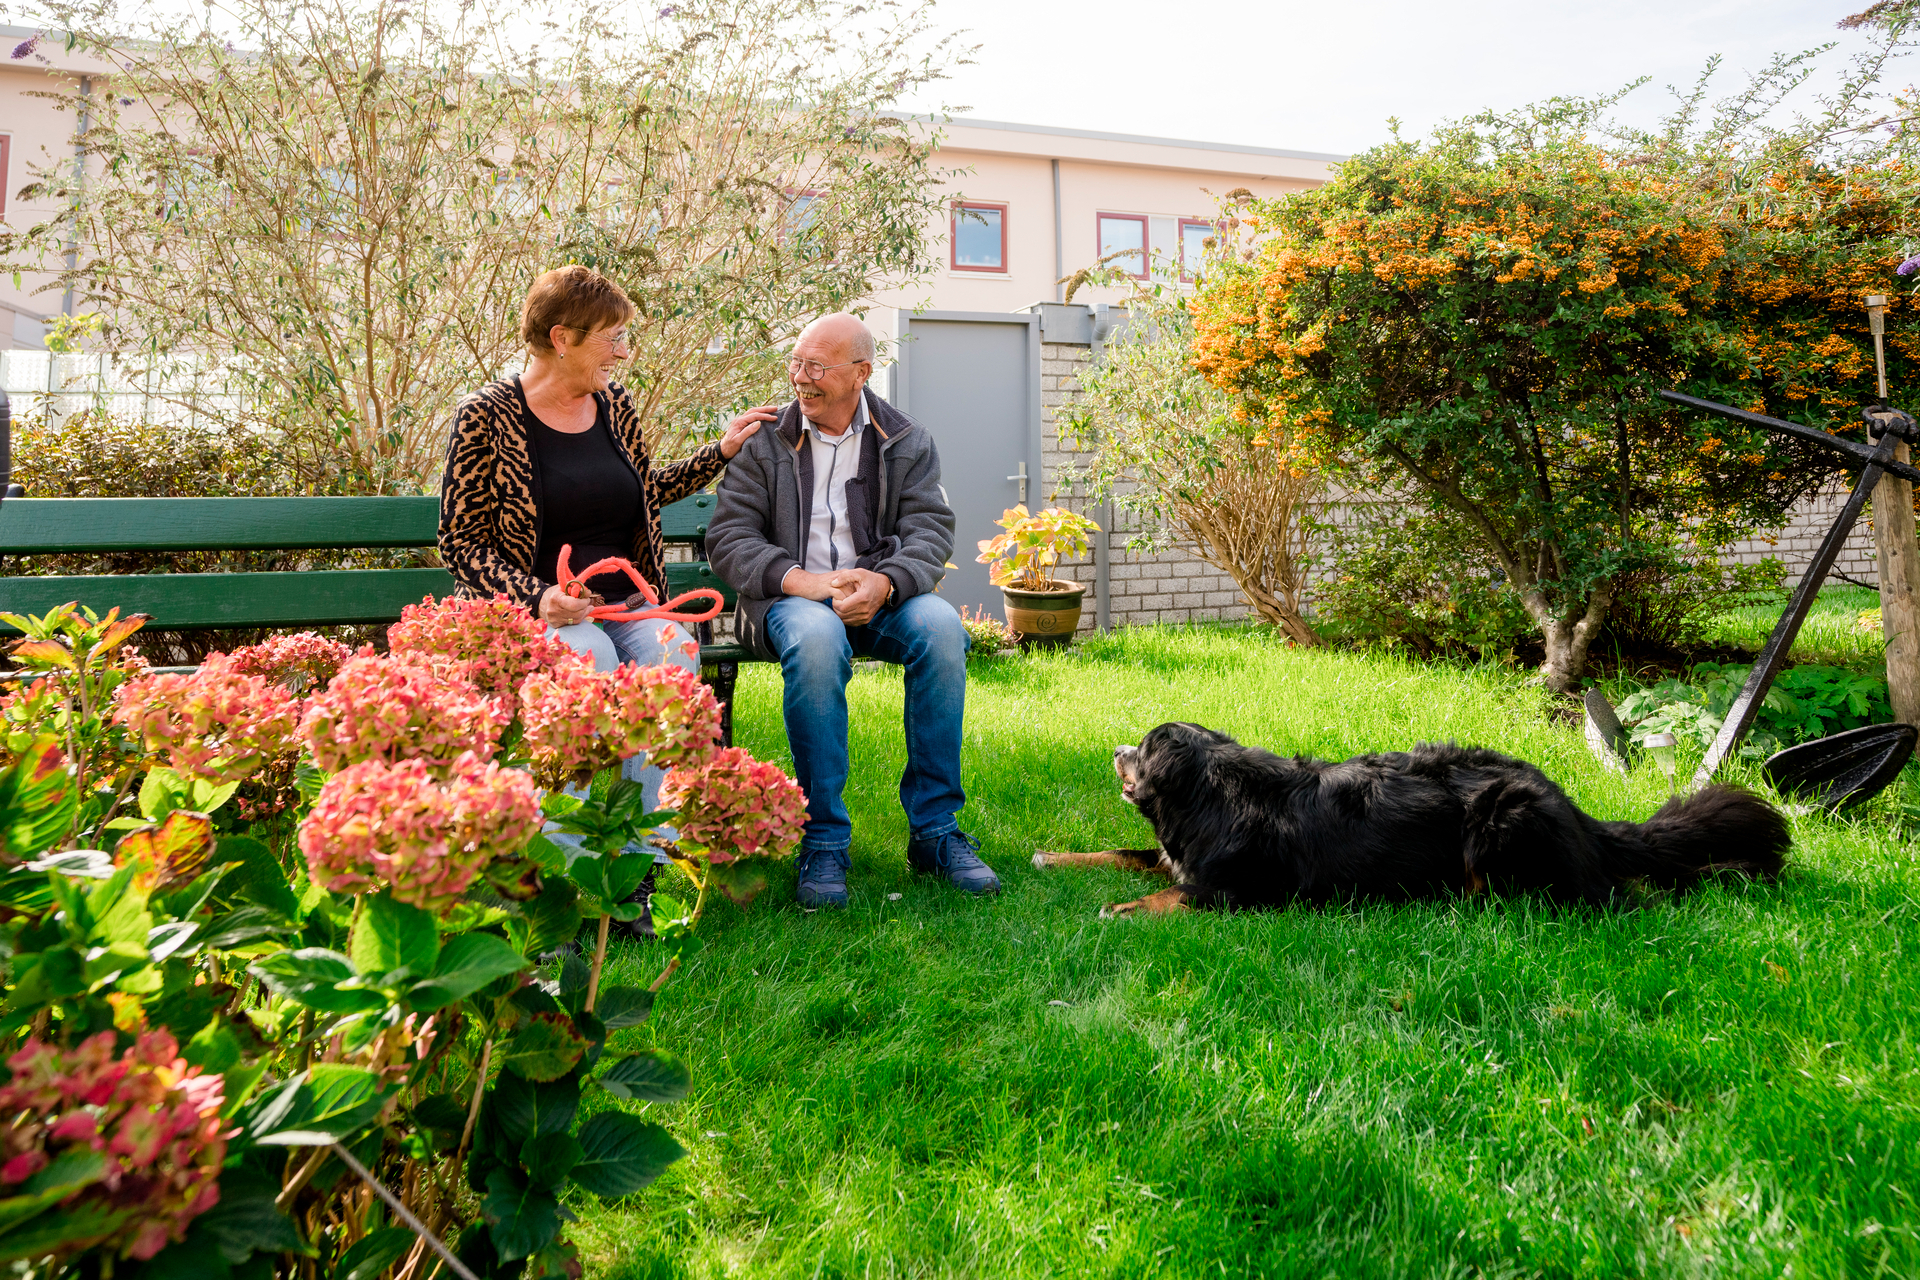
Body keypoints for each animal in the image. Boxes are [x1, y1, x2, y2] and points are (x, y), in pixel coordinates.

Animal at [1029, 725, 1789, 917]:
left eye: (1144, 749)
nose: (1117, 751)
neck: (1211, 795)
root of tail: (1574, 808)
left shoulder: (1233, 890)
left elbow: (1170, 893)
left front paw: (1122, 909)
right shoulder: (1174, 854)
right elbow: (1119, 853)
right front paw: (1051, 858)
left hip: (1503, 820)